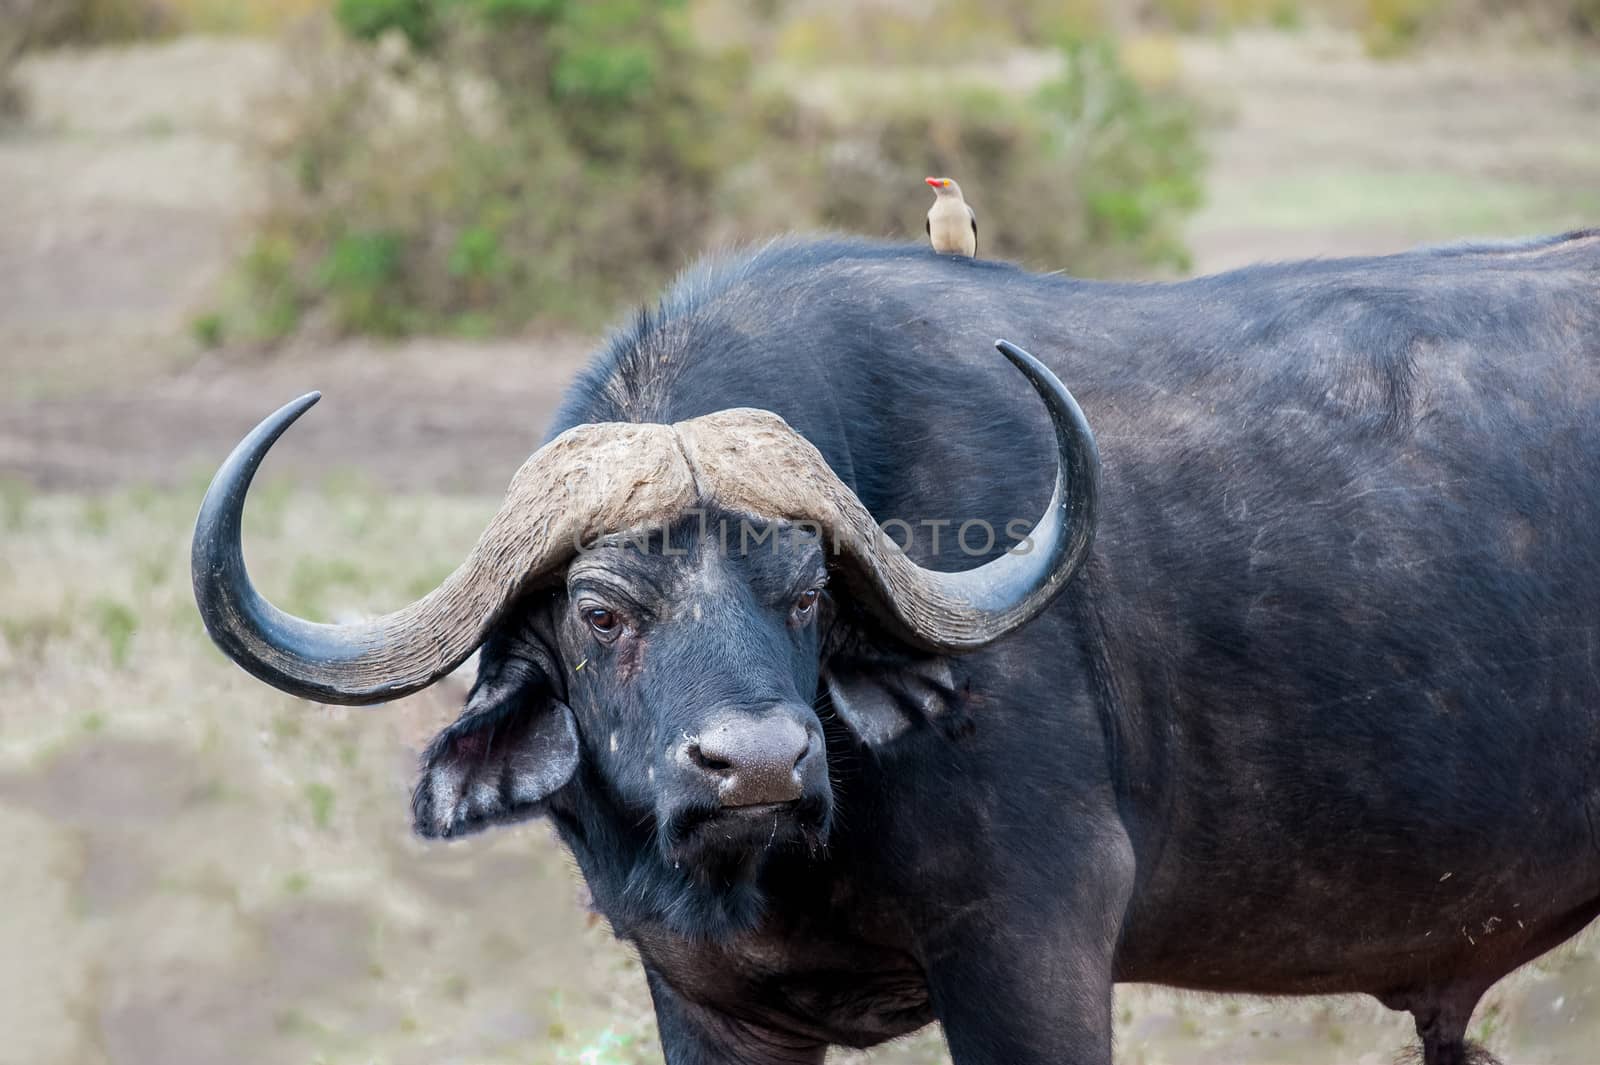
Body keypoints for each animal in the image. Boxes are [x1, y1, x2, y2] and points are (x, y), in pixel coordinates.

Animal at [193, 231, 1600, 1061]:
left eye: (807, 595)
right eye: (601, 613)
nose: (757, 765)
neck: (772, 872)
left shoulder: (1029, 954)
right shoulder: (701, 1003)